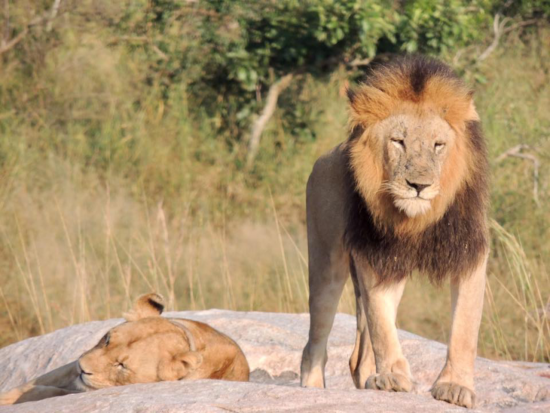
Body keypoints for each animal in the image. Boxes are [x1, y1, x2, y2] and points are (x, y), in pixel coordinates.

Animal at [0, 292, 250, 404]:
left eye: (121, 366)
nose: (82, 368)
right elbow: (31, 385)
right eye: (107, 339)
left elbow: (48, 391)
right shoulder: (67, 368)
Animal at [302, 55, 492, 408]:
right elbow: (381, 322)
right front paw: (392, 377)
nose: (419, 185)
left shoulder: (469, 251)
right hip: (326, 264)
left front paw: (455, 387)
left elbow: (465, 327)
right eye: (398, 141)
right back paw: (313, 389)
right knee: (315, 343)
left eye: (438, 145)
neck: (417, 220)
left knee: (359, 357)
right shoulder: (374, 254)